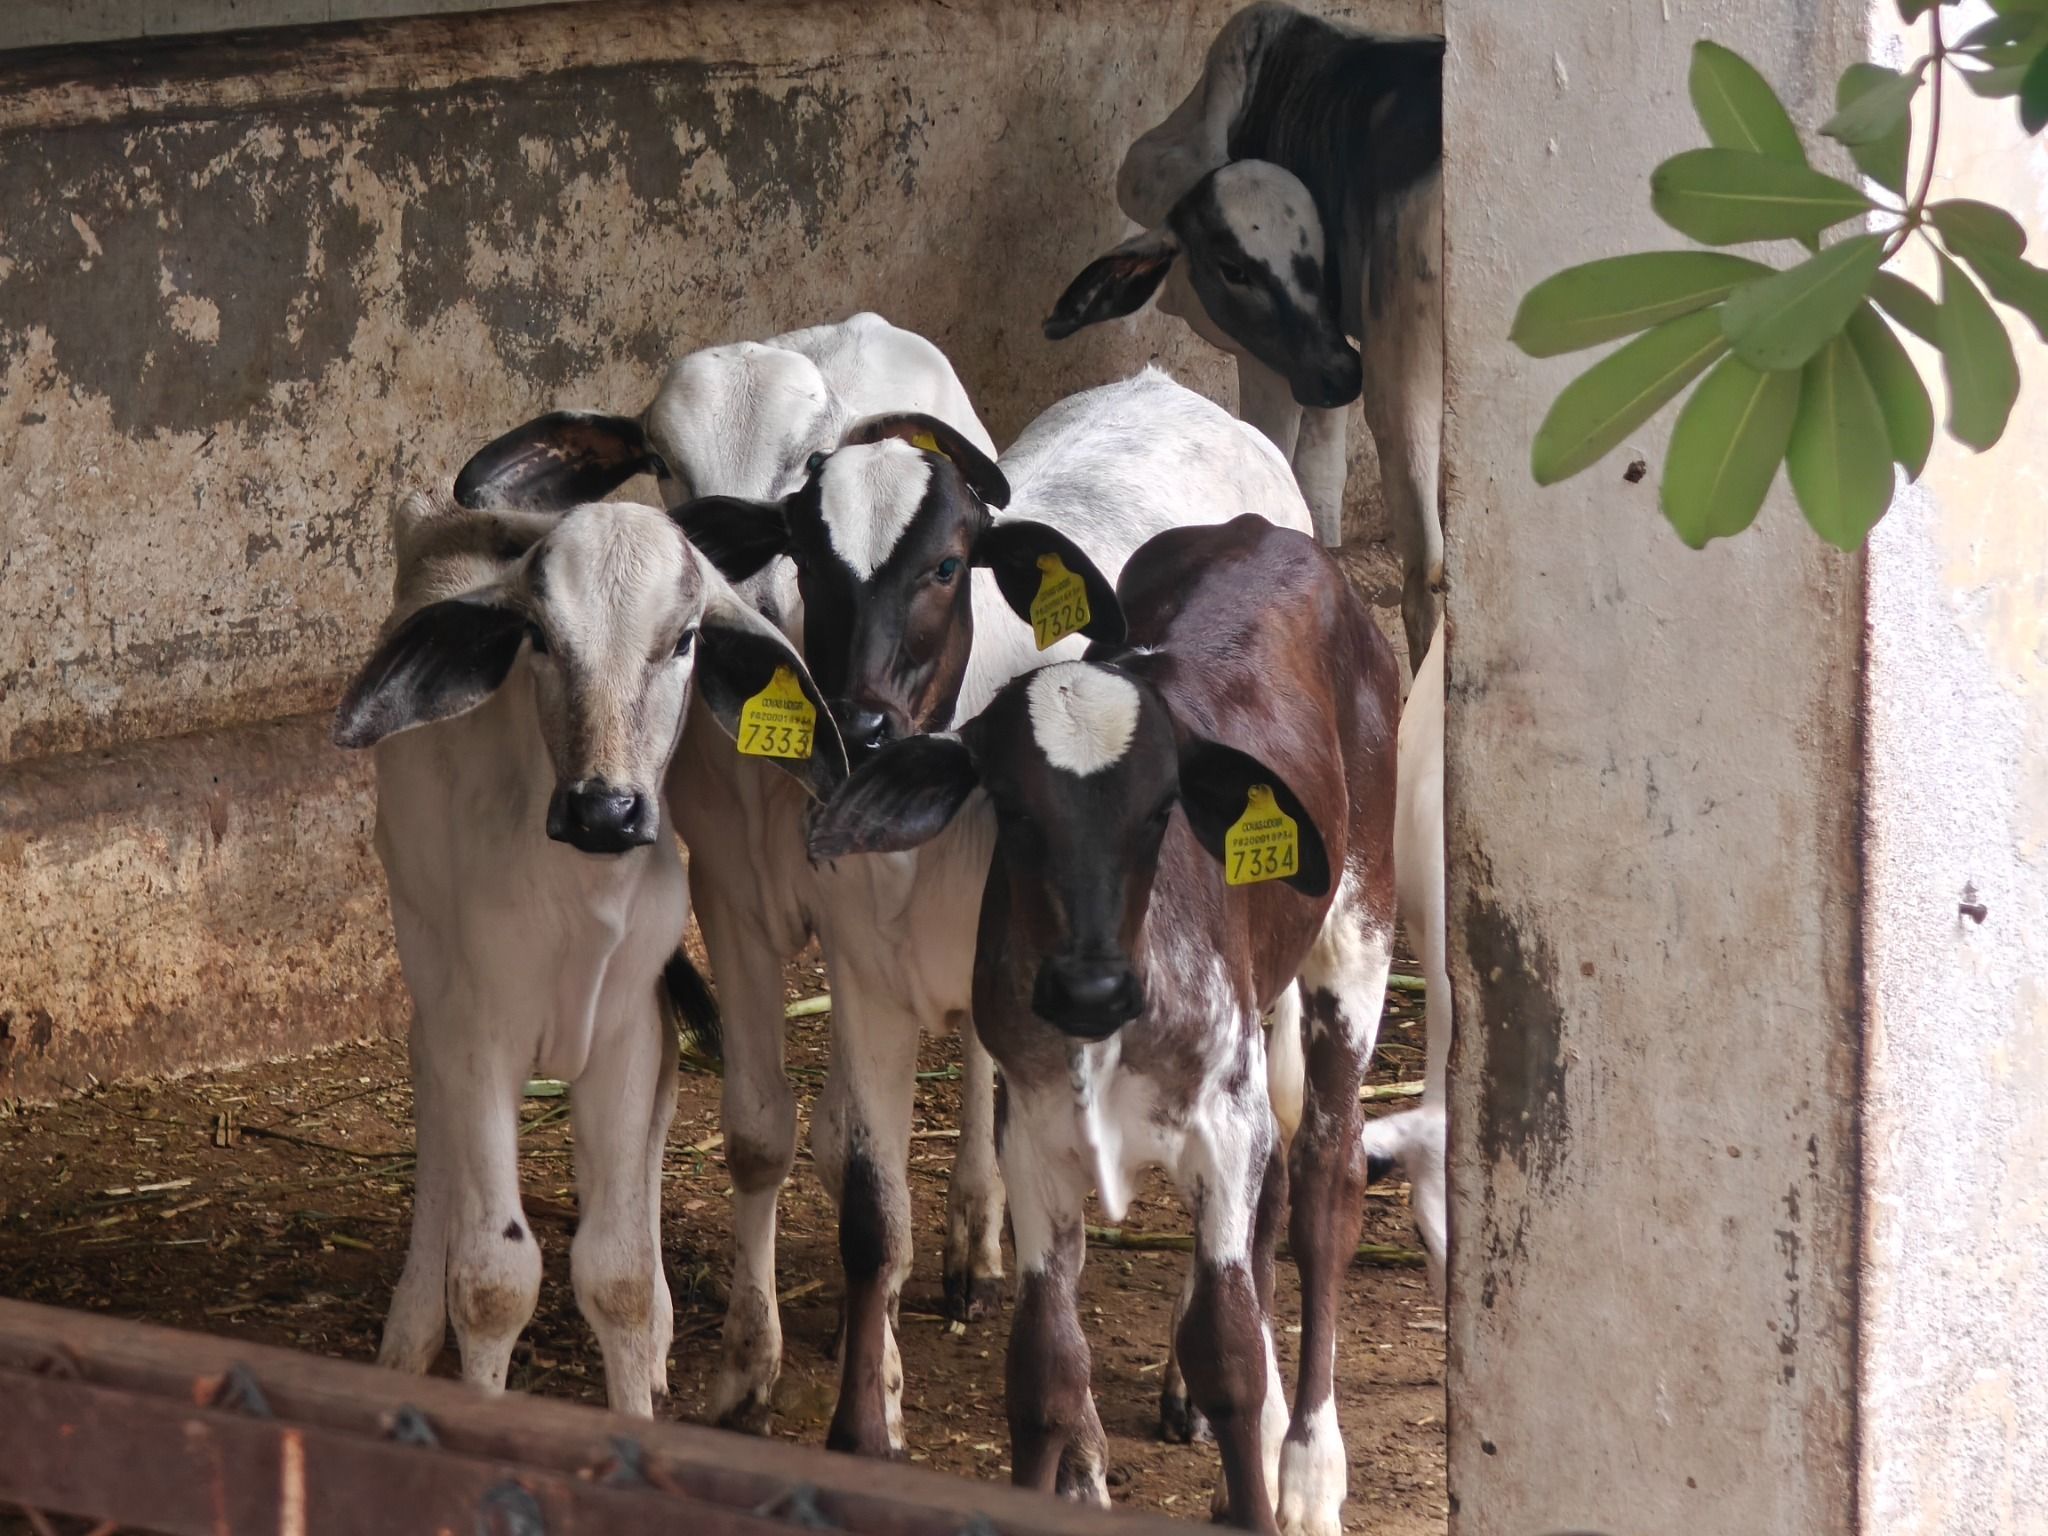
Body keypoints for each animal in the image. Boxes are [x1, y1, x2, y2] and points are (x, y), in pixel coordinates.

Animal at [332, 488, 841, 1418]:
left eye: (685, 638)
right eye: (538, 635)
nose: (606, 810)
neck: (577, 898)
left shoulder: (625, 1032)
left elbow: (618, 1273)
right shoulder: (481, 1035)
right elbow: (494, 1280)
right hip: (423, 950)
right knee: (432, 1111)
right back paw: (408, 1331)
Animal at [450, 314, 1010, 1431]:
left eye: (809, 461)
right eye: (663, 464)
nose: (731, 589)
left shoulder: (854, 913)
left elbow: (858, 1150)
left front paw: (877, 1362)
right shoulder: (731, 900)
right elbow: (760, 1134)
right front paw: (748, 1365)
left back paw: (973, 1233)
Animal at [674, 368, 1315, 1457]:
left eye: (945, 565)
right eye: (807, 559)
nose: (860, 722)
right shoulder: (862, 978)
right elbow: (868, 1213)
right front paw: (861, 1425)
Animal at [807, 513, 1399, 1536]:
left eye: (1164, 811)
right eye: (1008, 806)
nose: (1089, 987)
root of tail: (1271, 534)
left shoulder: (1221, 1126)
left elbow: (1227, 1355)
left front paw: (1257, 1472)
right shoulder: (1037, 1140)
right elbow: (1045, 1372)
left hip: (1358, 929)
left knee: (1325, 1177)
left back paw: (1308, 1466)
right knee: (1283, 1186)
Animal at [1043, 2, 1444, 673]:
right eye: (1232, 267)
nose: (1341, 374)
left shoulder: (1282, 361)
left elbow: (1291, 468)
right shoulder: (1318, 360)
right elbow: (1322, 479)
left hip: (1403, 365)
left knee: (1427, 570)